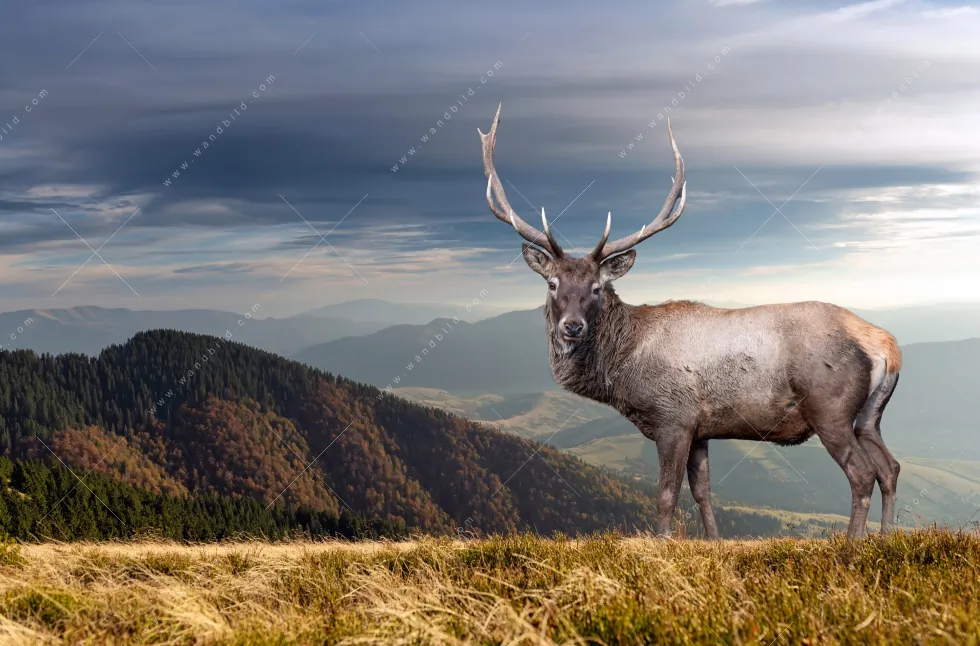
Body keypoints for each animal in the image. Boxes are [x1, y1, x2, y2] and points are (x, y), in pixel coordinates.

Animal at [478, 104, 902, 540]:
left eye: (597, 287)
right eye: (552, 283)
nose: (572, 327)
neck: (623, 371)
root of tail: (887, 347)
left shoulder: (674, 419)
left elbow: (667, 495)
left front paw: (662, 543)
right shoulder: (702, 429)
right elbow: (703, 492)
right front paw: (713, 541)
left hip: (829, 408)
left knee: (862, 472)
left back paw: (853, 542)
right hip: (870, 415)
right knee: (890, 467)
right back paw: (885, 536)